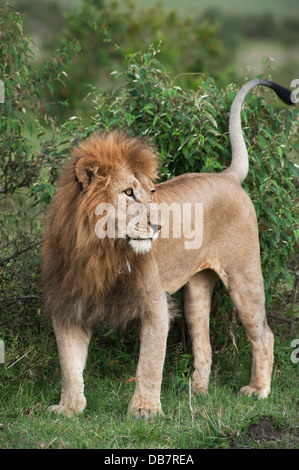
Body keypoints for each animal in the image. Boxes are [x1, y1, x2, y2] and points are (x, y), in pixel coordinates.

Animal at [42, 78, 296, 418]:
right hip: (196, 292)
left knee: (264, 335)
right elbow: (69, 364)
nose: (158, 226)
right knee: (204, 344)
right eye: (128, 193)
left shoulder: (154, 304)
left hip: (244, 277)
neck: (99, 249)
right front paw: (68, 408)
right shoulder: (70, 304)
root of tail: (227, 176)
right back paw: (197, 393)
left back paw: (258, 390)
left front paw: (145, 410)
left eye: (151, 192)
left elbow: (149, 363)